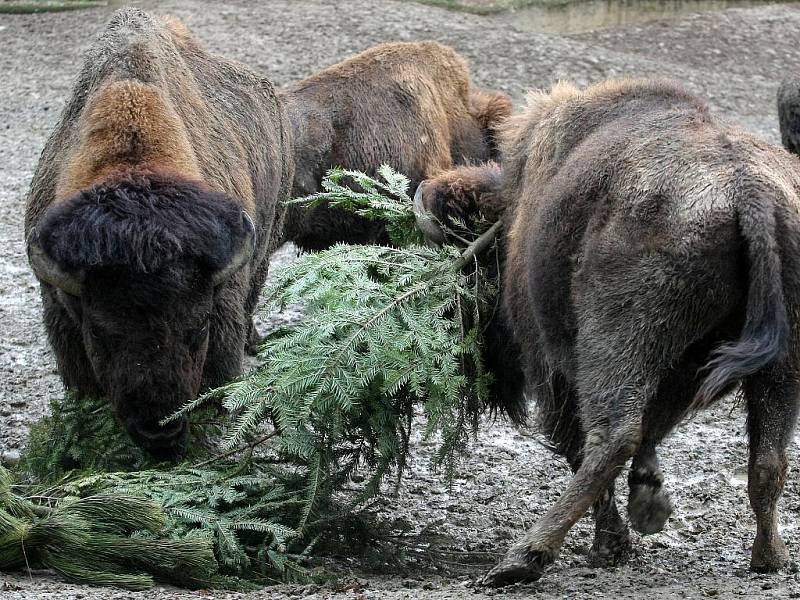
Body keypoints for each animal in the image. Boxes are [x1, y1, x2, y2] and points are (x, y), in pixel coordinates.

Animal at [416, 78, 800, 584]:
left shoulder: (555, 368)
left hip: (616, 337)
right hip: (782, 361)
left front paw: (615, 540)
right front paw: (649, 500)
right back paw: (769, 556)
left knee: (609, 439)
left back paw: (524, 557)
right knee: (769, 458)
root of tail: (750, 190)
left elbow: (580, 442)